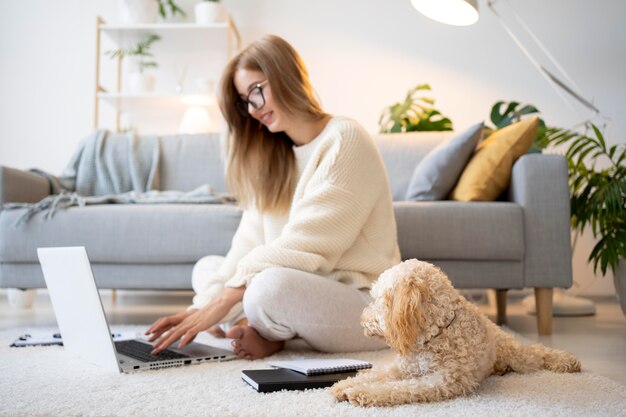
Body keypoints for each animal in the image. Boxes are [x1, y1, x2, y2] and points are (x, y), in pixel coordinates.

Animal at [332, 258, 580, 404]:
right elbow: (375, 374)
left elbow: (400, 388)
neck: (436, 335)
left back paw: (566, 360)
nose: (362, 320)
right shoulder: (401, 368)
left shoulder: (442, 381)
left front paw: (362, 393)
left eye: (377, 299)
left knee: (538, 352)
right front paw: (344, 385)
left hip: (517, 354)